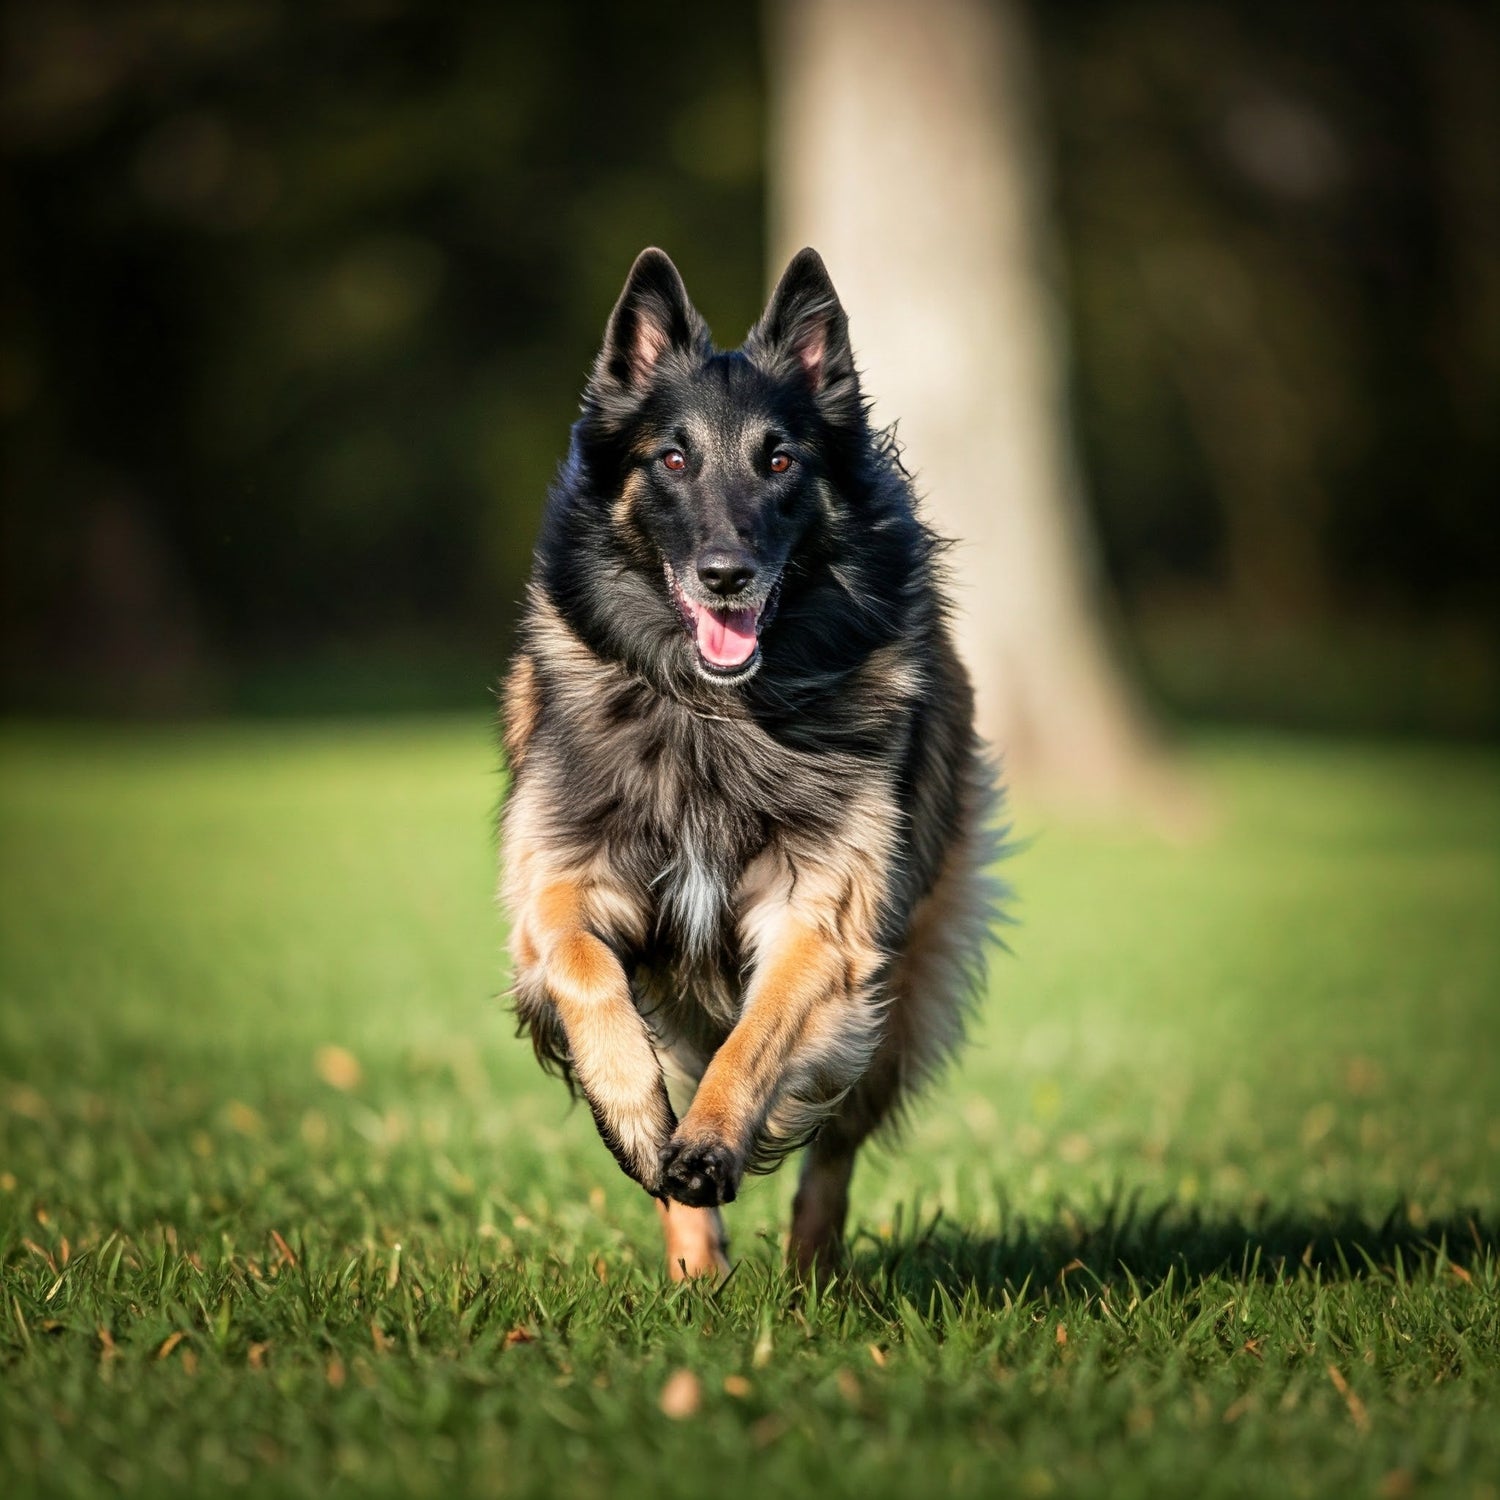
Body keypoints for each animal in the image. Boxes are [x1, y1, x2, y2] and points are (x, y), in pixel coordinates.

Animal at [498, 246, 1002, 1278]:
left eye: (779, 461)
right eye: (672, 459)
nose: (726, 575)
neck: (714, 716)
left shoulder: (824, 922)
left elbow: (759, 1041)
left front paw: (711, 1139)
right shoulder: (558, 885)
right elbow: (582, 968)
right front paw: (638, 1119)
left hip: (895, 1001)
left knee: (834, 1148)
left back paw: (809, 1273)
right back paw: (694, 1268)